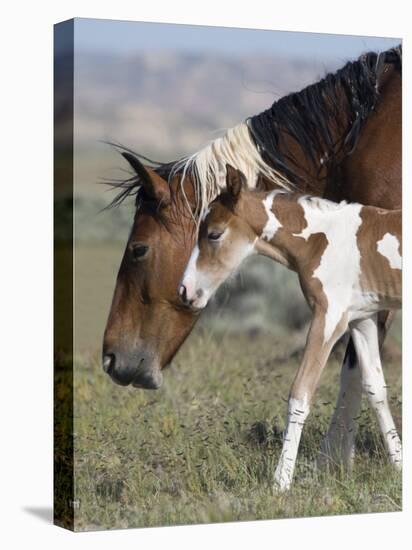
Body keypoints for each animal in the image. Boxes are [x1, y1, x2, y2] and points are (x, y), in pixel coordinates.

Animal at [179, 167, 400, 492]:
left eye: (214, 234)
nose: (185, 291)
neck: (322, 240)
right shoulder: (362, 320)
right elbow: (375, 389)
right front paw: (400, 467)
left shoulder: (328, 318)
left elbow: (300, 393)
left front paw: (280, 482)